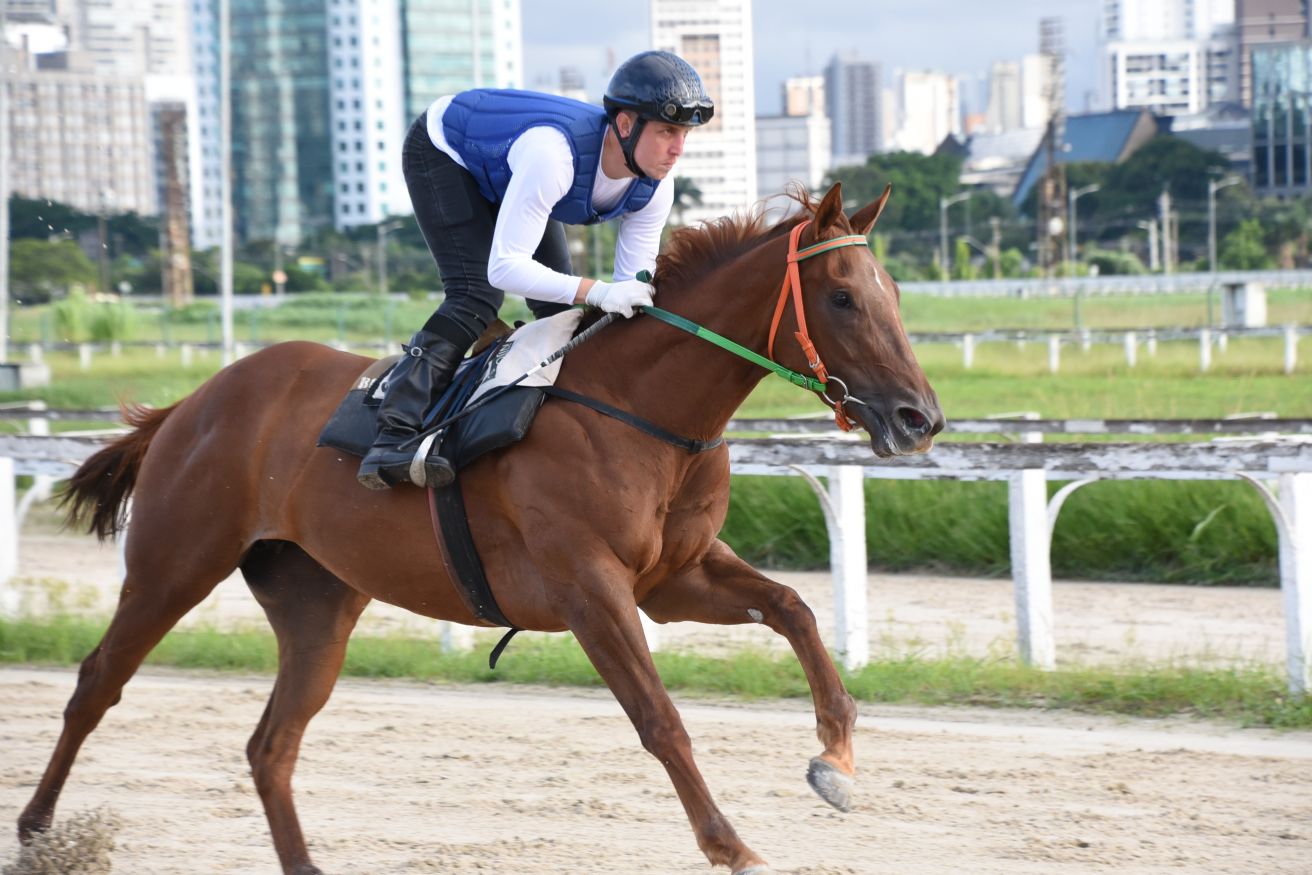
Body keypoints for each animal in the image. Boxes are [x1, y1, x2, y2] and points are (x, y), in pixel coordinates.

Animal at [17, 182, 944, 875]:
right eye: (842, 296)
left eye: (895, 295)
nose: (921, 417)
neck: (639, 408)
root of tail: (192, 400)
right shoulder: (588, 587)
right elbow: (660, 718)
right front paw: (734, 846)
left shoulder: (673, 577)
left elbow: (794, 608)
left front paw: (836, 758)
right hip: (175, 561)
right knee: (97, 682)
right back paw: (36, 831)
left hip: (316, 601)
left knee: (271, 743)